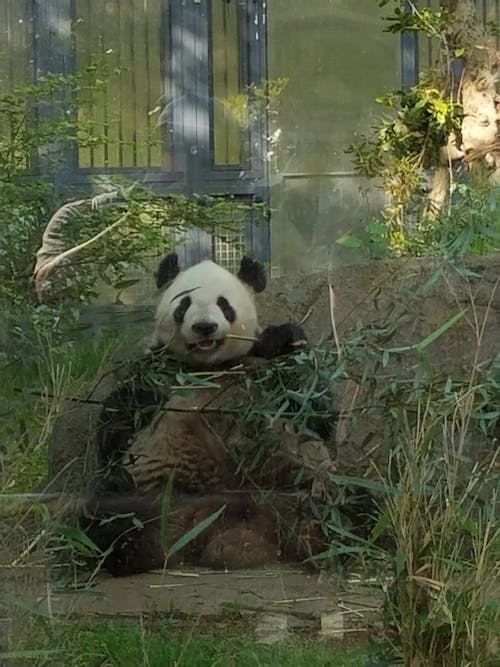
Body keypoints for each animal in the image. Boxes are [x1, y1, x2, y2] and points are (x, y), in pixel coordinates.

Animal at [83, 253, 332, 576]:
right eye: (184, 304)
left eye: (224, 304)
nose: (204, 327)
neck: (208, 368)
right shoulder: (159, 370)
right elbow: (116, 428)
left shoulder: (258, 367)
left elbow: (316, 411)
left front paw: (283, 337)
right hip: (157, 490)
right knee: (111, 512)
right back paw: (126, 551)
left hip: (295, 482)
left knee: (347, 501)